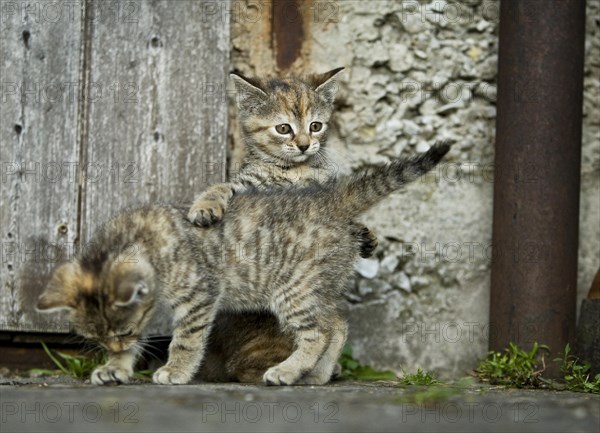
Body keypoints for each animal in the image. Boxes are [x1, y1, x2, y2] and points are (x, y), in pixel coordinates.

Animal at [36, 142, 450, 384]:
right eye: (97, 338)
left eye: (121, 331)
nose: (115, 347)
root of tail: (330, 201)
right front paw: (117, 368)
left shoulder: (199, 295)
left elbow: (186, 340)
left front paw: (175, 370)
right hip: (319, 285)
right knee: (336, 324)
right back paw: (317, 374)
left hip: (293, 290)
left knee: (318, 331)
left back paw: (287, 371)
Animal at [188, 66, 378, 258]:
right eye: (283, 128)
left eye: (315, 126)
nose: (304, 145)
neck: (294, 169)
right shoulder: (250, 184)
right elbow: (222, 186)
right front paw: (205, 205)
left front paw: (362, 231)